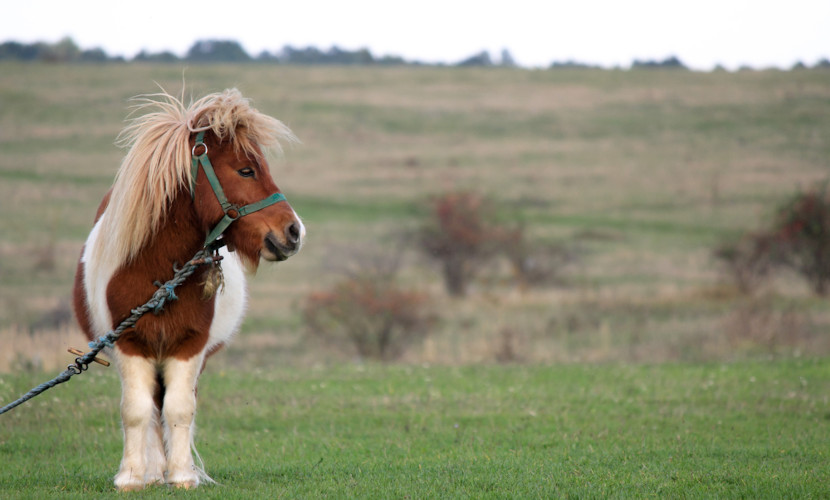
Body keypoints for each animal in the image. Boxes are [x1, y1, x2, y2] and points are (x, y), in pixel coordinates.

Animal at [72, 88, 306, 490]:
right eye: (246, 170)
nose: (295, 232)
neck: (155, 272)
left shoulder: (189, 347)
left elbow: (180, 409)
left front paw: (181, 475)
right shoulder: (129, 343)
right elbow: (136, 411)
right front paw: (132, 477)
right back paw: (152, 470)